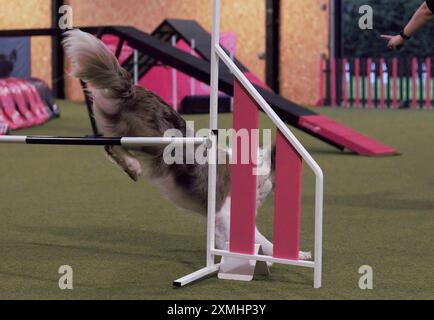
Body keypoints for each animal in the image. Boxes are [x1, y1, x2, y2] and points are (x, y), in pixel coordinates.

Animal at [62, 29, 310, 260]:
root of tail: (133, 91)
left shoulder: (219, 219)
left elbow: (226, 239)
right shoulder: (223, 210)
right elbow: (261, 239)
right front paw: (297, 255)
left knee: (109, 146)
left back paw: (131, 168)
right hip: (155, 142)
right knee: (114, 146)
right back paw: (133, 166)